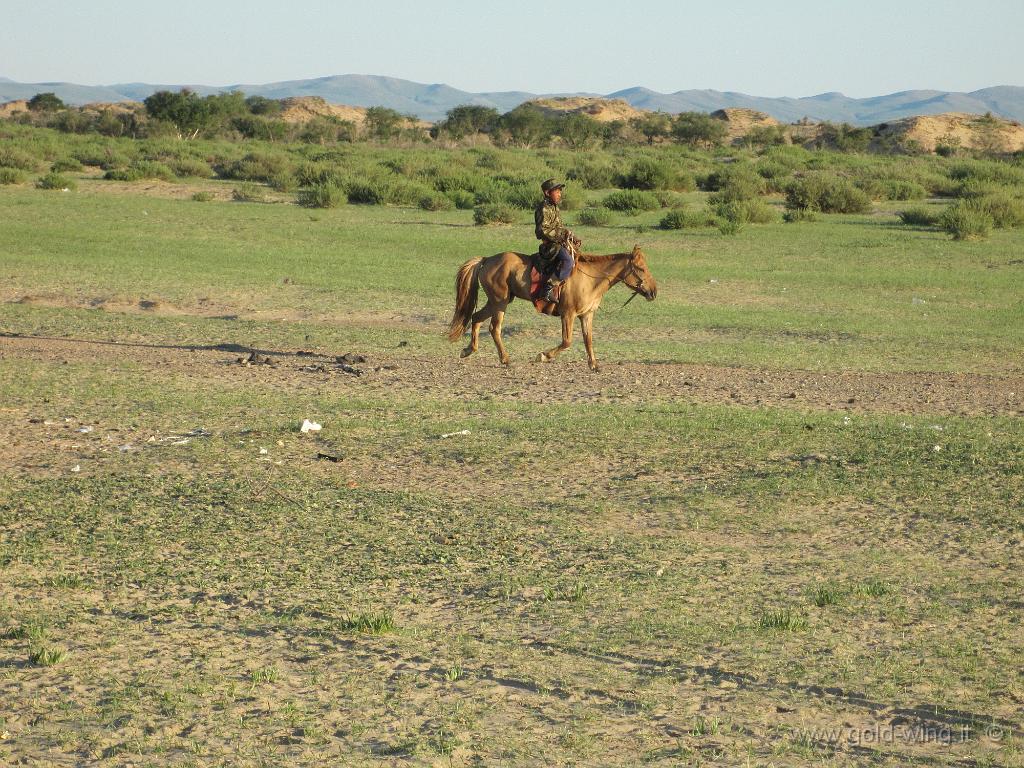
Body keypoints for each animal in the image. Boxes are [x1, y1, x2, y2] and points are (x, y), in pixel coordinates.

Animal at [446, 243, 655, 370]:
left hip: (496, 302)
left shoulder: (587, 315)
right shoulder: (568, 314)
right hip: (500, 302)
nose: (653, 291)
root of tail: (487, 259)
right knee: (494, 328)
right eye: (642, 268)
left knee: (476, 318)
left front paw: (594, 365)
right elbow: (567, 341)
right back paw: (505, 359)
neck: (590, 278)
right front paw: (543, 356)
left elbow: (588, 340)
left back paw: (468, 350)